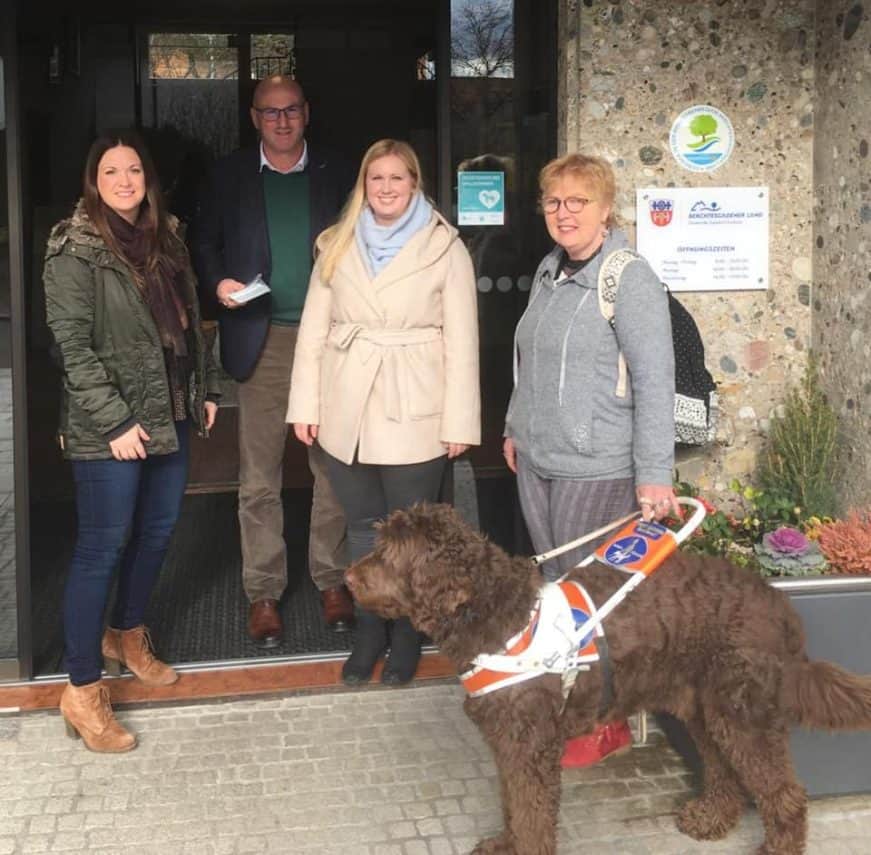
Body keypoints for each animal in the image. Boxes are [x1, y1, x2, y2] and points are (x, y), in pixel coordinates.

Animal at [348, 504, 871, 852]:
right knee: (724, 769)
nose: (349, 579)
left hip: (744, 713)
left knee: (786, 795)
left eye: (389, 553)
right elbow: (512, 805)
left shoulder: (528, 748)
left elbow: (532, 814)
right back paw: (709, 818)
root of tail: (779, 606)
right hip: (707, 709)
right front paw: (504, 843)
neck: (494, 610)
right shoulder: (508, 744)